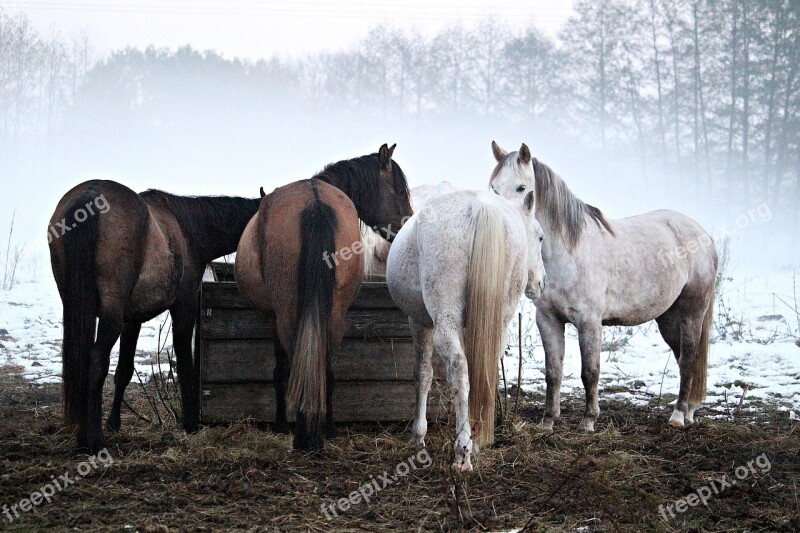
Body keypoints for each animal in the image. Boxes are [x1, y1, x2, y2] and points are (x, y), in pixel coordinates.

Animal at [48, 181, 260, 450]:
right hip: (110, 315)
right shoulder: (184, 306)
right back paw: (94, 439)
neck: (189, 230)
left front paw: (114, 422)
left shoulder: (131, 320)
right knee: (97, 361)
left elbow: (124, 371)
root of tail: (88, 197)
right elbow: (185, 364)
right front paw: (190, 423)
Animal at [234, 145, 412, 448]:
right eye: (400, 191)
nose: (411, 223)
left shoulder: (273, 318)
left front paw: (281, 425)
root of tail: (314, 203)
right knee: (325, 367)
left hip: (289, 315)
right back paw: (325, 429)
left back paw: (304, 436)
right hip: (335, 314)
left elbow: (280, 370)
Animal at [384, 187, 548, 470]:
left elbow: (423, 374)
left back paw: (462, 452)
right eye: (539, 237)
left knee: (459, 370)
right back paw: (476, 438)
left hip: (445, 320)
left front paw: (418, 435)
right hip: (498, 321)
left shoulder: (421, 322)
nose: (541, 283)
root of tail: (479, 206)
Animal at [488, 141, 720, 432]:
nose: (505, 228)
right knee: (684, 359)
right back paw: (688, 411)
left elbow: (590, 372)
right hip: (668, 317)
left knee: (688, 358)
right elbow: (553, 372)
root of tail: (701, 233)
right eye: (494, 188)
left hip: (692, 310)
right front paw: (548, 421)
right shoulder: (549, 319)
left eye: (521, 187)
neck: (568, 252)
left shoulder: (589, 321)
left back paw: (678, 416)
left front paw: (588, 421)